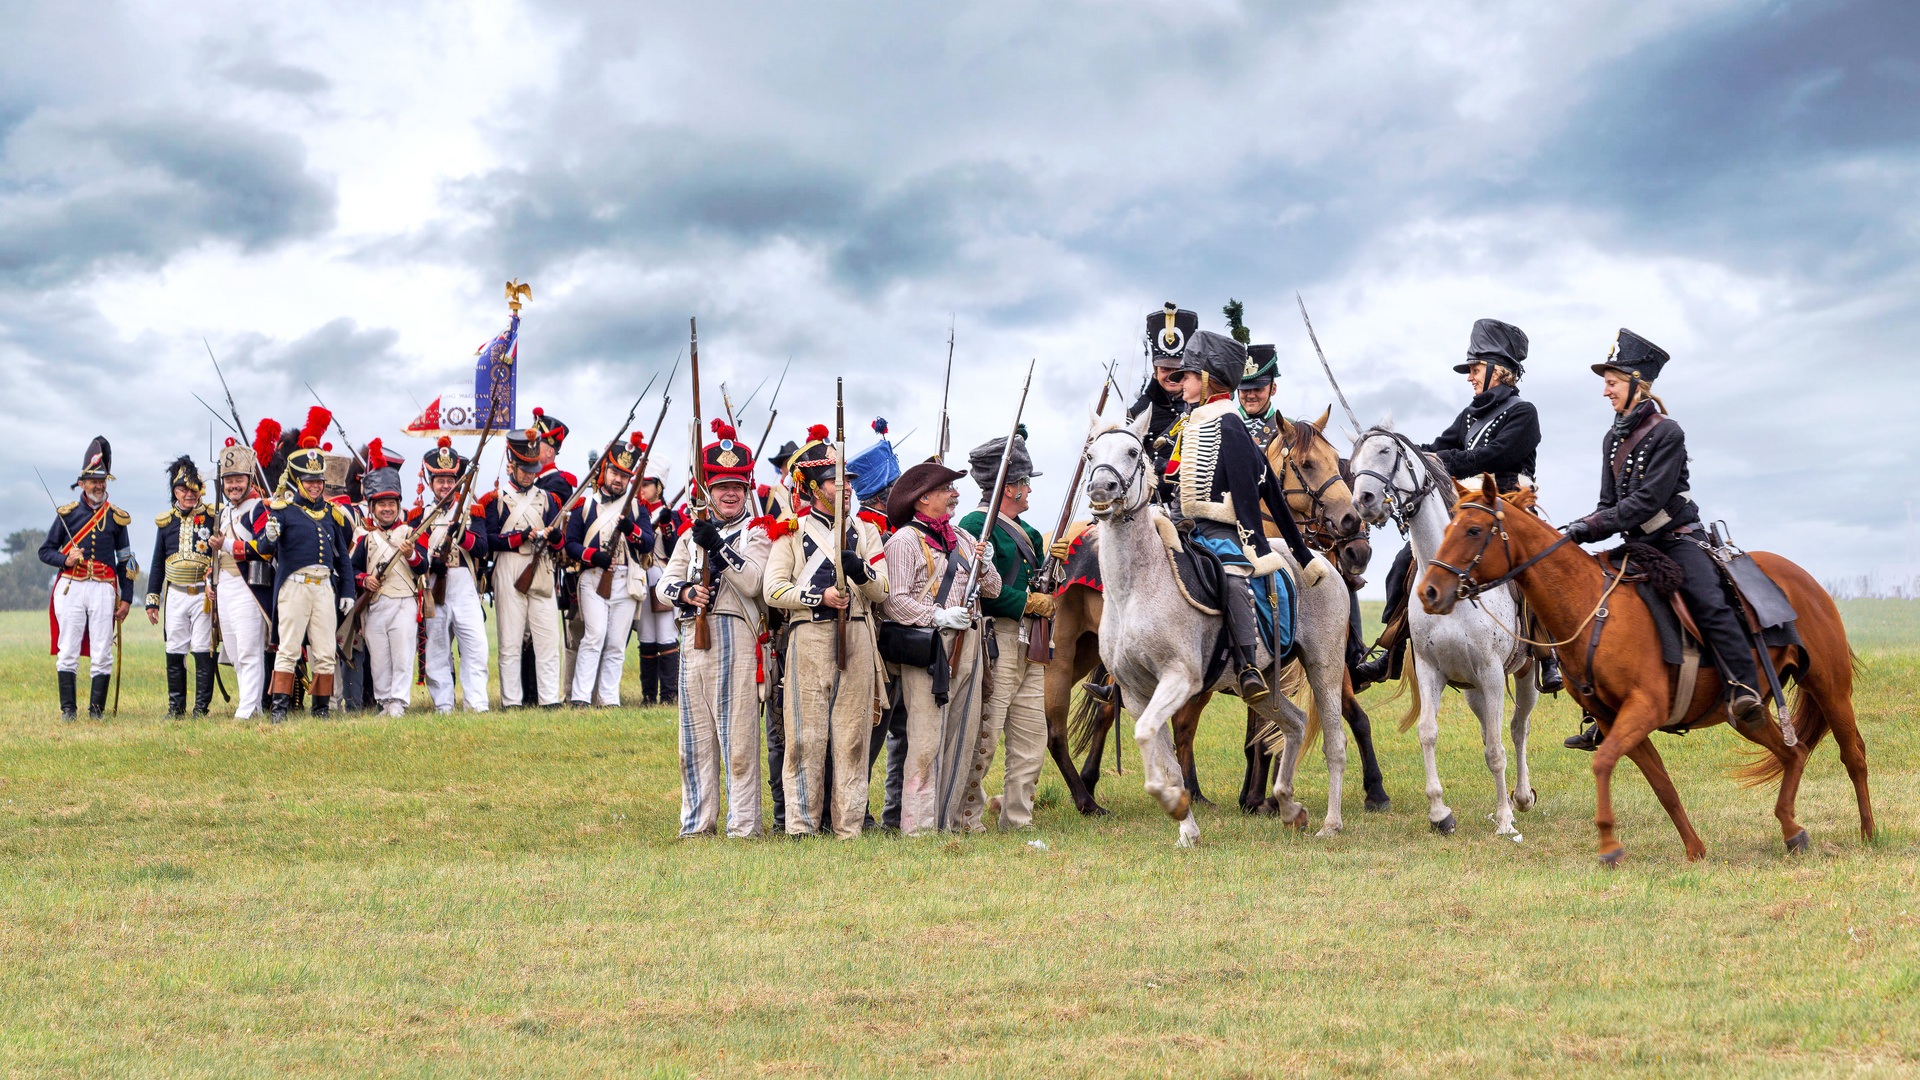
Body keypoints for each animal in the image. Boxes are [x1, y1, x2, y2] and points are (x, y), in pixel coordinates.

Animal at [1044, 407, 1390, 810]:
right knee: (1068, 723)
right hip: (1063, 654)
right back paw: (1086, 795)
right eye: (1307, 463)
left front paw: (1258, 798)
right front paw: (1252, 798)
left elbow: (1320, 723)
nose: (1353, 533)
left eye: (1133, 452)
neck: (1139, 584)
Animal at [1351, 426, 1543, 834]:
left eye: (1386, 451)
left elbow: (1497, 749)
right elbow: (1428, 732)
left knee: (1517, 728)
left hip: (1525, 673)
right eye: (1353, 463)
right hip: (1472, 689)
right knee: (1491, 728)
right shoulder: (1431, 669)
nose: (1363, 500)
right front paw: (1440, 813)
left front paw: (1505, 822)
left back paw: (1521, 797)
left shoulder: (1491, 671)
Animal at [1413, 476, 1873, 857]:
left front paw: (1609, 845)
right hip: (1748, 714)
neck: (1591, 605)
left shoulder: (1643, 709)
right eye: (1448, 529)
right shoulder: (1613, 718)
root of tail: (1807, 582)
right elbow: (1661, 784)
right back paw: (1792, 831)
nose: (1429, 592)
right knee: (1793, 754)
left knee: (1853, 754)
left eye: (1473, 530)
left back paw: (1869, 834)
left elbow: (1604, 764)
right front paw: (1694, 850)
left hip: (1830, 688)